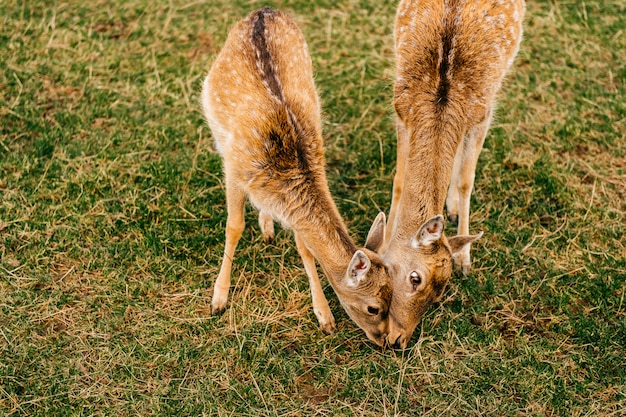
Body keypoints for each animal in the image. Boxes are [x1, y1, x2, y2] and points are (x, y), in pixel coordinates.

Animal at [202, 7, 392, 344]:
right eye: (373, 307)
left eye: (393, 295)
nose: (387, 341)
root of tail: (262, 11)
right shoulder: (234, 171)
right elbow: (234, 227)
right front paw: (218, 300)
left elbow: (304, 247)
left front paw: (325, 317)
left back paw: (267, 227)